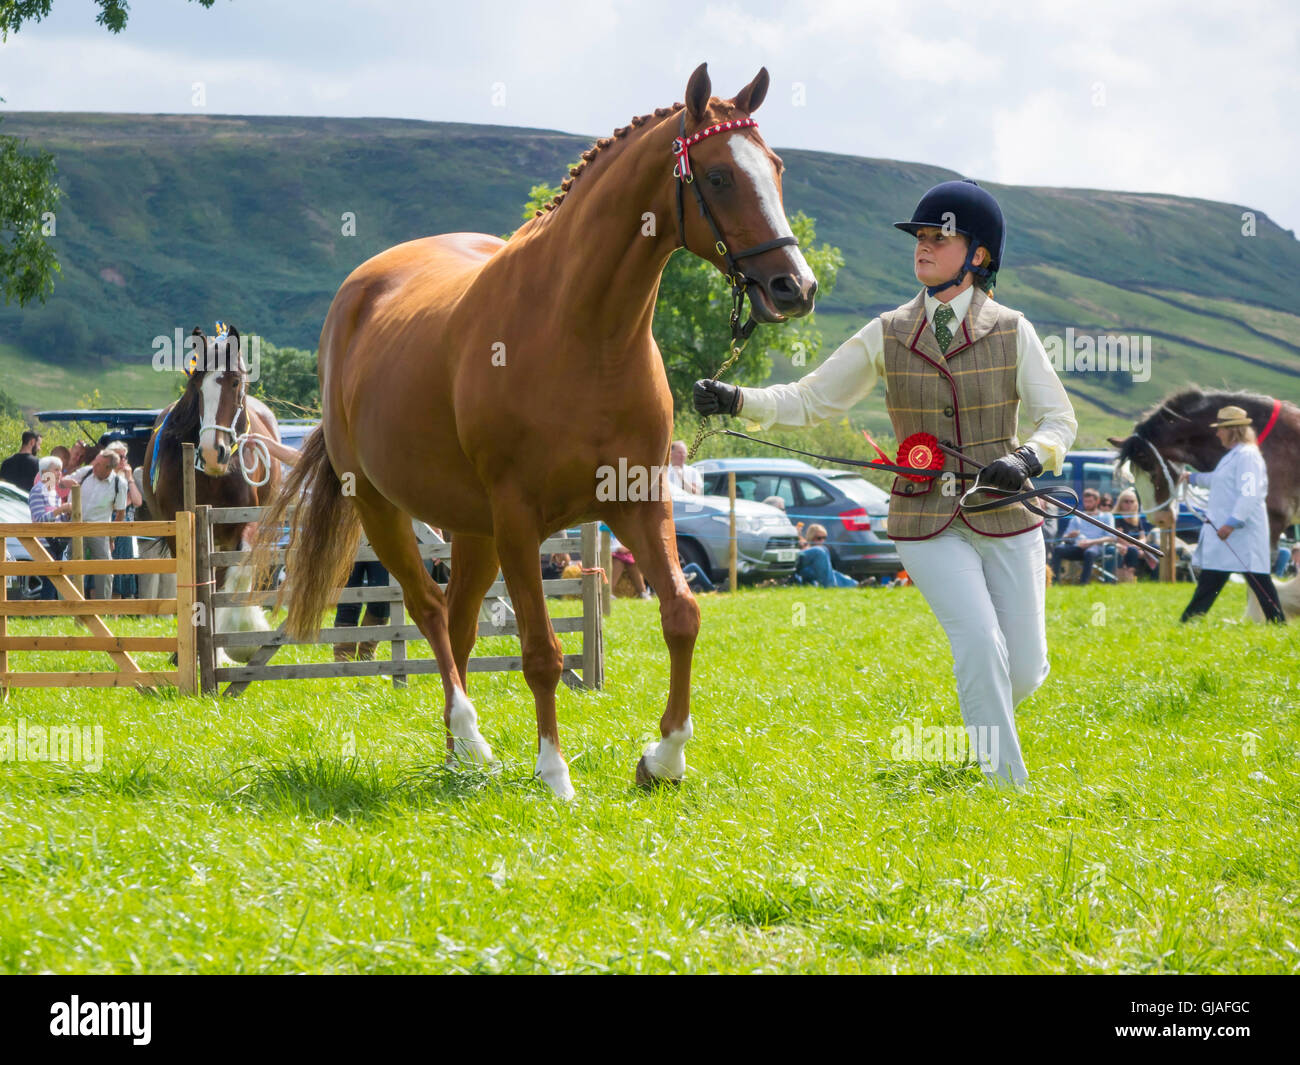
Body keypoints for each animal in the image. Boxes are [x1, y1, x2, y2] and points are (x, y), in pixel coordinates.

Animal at [143, 325, 283, 657]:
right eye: (196, 385)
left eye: (235, 382)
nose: (210, 452)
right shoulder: (179, 530)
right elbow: (193, 582)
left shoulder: (240, 527)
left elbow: (235, 576)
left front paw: (241, 634)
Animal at [258, 64, 816, 801]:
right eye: (719, 175)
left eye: (775, 168)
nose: (794, 287)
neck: (586, 336)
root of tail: (358, 293)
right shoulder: (520, 519)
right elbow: (543, 652)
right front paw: (554, 773)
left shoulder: (638, 501)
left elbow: (682, 614)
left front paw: (664, 757)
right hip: (383, 507)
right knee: (430, 612)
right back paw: (472, 739)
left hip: (472, 529)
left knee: (460, 623)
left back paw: (455, 757)